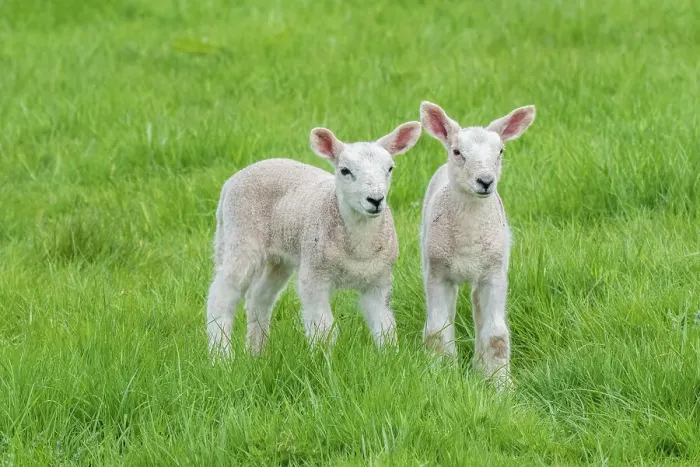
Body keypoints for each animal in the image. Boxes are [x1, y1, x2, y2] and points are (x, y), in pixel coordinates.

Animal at [206, 121, 422, 356]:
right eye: (345, 171)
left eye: (390, 168)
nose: (375, 200)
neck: (358, 248)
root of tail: (230, 182)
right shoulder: (314, 275)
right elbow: (323, 327)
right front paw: (325, 358)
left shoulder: (379, 281)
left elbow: (384, 326)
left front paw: (389, 356)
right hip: (241, 237)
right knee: (221, 296)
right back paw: (221, 356)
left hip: (279, 258)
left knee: (258, 297)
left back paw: (256, 352)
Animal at [419, 101, 535, 389]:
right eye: (457, 152)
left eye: (501, 151)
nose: (485, 181)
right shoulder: (437, 275)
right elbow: (437, 330)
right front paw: (441, 374)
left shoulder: (495, 276)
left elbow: (496, 334)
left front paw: (501, 384)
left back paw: (481, 366)